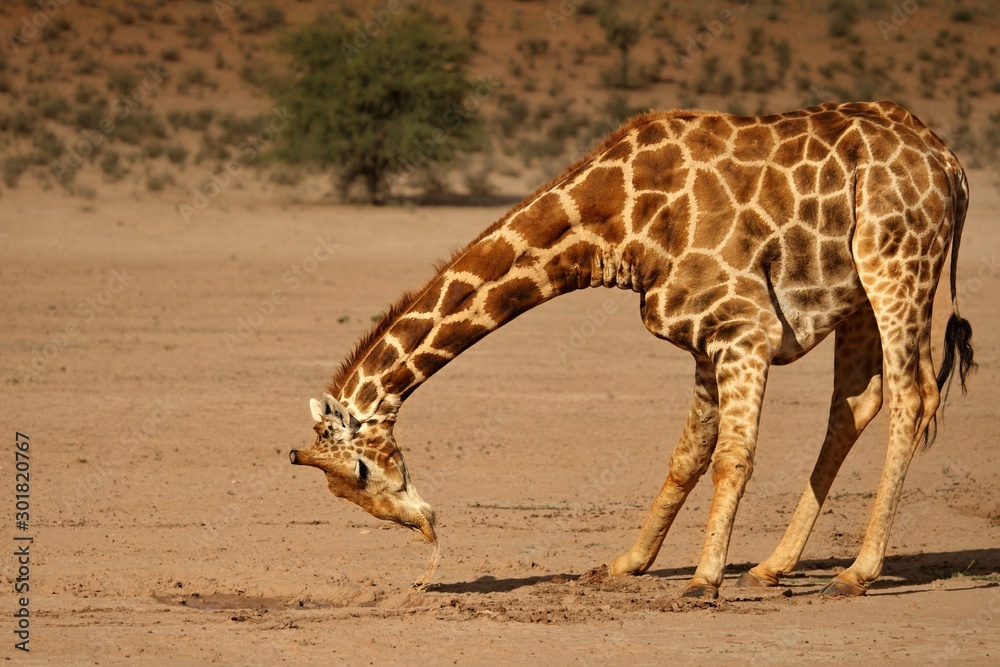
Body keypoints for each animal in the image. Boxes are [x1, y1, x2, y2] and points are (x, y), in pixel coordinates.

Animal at [289, 100, 974, 598]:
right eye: (345, 491)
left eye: (359, 470)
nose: (428, 530)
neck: (615, 225)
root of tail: (951, 165)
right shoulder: (704, 339)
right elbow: (688, 455)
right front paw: (627, 563)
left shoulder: (744, 327)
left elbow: (733, 457)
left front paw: (703, 580)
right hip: (860, 296)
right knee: (855, 404)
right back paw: (775, 567)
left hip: (896, 265)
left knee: (914, 396)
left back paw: (857, 573)